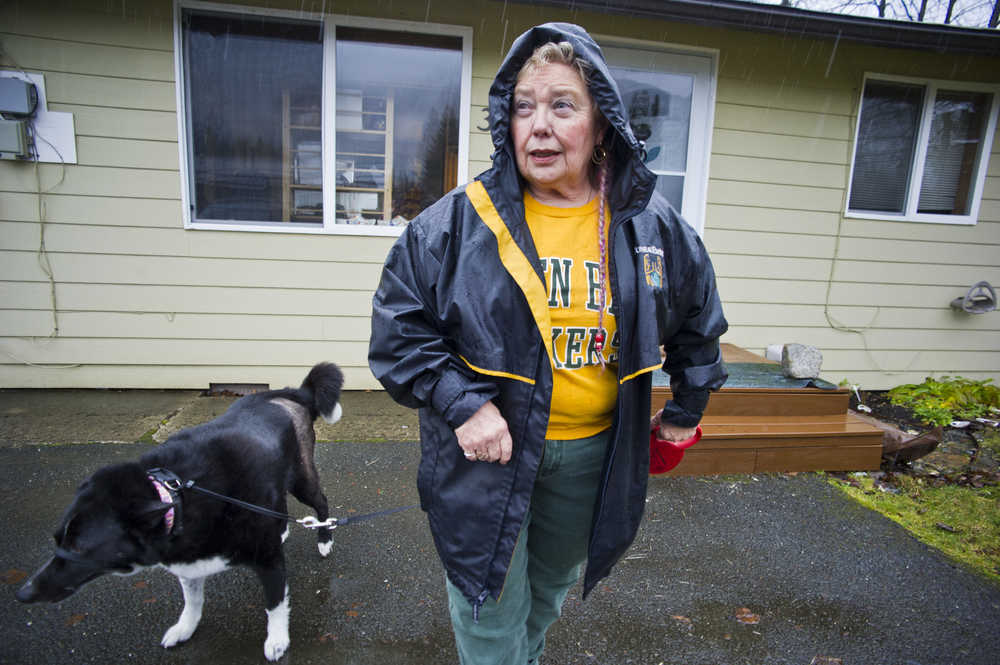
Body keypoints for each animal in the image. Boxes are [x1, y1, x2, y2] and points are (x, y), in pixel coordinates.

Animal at [16, 362, 344, 661]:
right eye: (58, 539)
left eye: (79, 548)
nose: (23, 594)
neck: (175, 495)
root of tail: (288, 394)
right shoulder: (188, 563)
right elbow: (193, 603)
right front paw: (184, 628)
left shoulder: (269, 560)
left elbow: (274, 605)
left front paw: (277, 641)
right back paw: (282, 528)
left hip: (301, 477)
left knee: (321, 502)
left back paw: (324, 539)